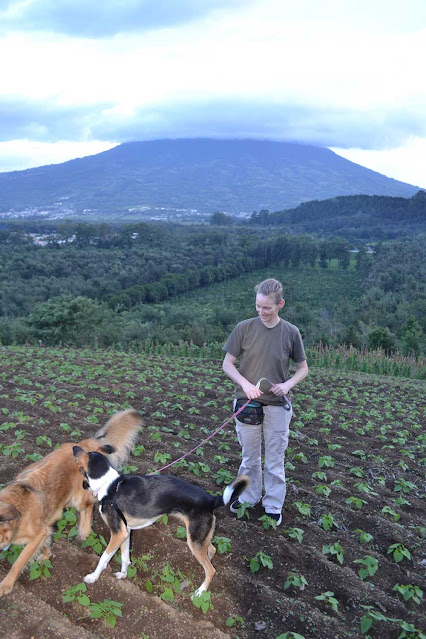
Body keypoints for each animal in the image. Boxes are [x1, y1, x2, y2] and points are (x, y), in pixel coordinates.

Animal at [0, 408, 143, 596]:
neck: (17, 508)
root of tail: (84, 446)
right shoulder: (43, 531)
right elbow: (46, 541)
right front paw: (46, 554)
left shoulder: (37, 533)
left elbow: (19, 562)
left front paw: (6, 585)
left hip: (79, 497)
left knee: (88, 507)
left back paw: (84, 531)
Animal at [71, 448, 248, 596]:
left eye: (87, 454)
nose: (74, 447)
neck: (108, 485)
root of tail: (211, 500)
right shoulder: (125, 532)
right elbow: (125, 556)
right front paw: (123, 574)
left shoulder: (117, 533)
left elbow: (103, 558)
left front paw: (93, 577)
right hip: (199, 536)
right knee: (211, 550)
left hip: (194, 539)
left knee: (211, 570)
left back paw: (200, 591)